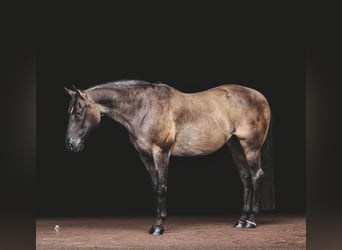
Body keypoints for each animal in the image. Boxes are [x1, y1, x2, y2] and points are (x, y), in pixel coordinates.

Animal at [65, 79, 276, 234]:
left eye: (80, 111)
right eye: (70, 111)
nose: (70, 144)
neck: (143, 108)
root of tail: (260, 96)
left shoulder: (161, 152)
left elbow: (162, 187)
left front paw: (159, 226)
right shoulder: (145, 156)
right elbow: (155, 187)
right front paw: (155, 223)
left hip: (250, 147)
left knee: (256, 177)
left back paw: (250, 221)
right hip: (235, 146)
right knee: (246, 178)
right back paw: (241, 220)